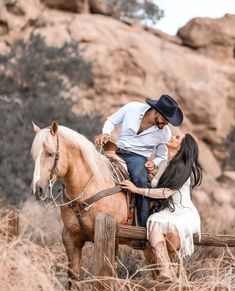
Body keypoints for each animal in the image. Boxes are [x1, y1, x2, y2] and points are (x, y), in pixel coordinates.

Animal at [31, 119, 152, 282]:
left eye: (50, 154)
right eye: (34, 156)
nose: (38, 189)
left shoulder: (112, 239)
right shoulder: (71, 239)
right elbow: (74, 277)